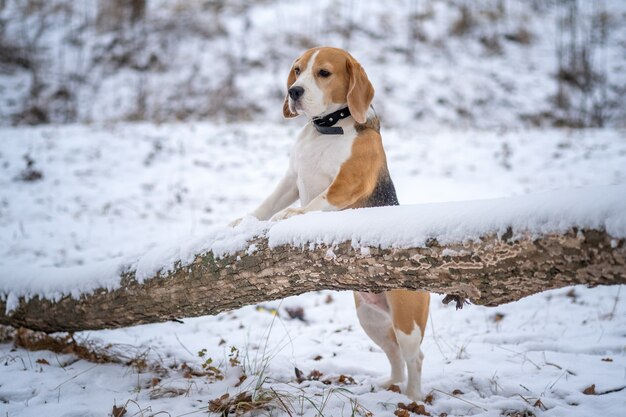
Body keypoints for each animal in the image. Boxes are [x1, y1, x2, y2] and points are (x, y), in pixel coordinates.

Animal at [234, 46, 428, 400]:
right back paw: (389, 385)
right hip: (370, 319)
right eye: (297, 70)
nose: (294, 92)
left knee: (415, 357)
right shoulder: (291, 179)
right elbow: (268, 204)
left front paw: (292, 216)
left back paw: (413, 398)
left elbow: (315, 203)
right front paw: (241, 222)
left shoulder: (346, 184)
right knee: (394, 354)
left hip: (407, 321)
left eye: (323, 73)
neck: (327, 128)